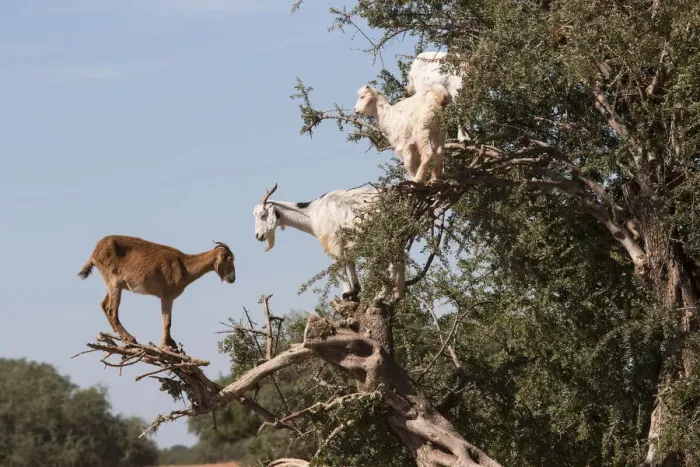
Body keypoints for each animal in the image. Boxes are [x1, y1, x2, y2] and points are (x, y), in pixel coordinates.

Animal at [78, 235, 235, 349]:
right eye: (229, 259)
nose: (232, 278)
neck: (184, 267)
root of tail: (95, 253)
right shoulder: (166, 296)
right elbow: (167, 321)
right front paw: (166, 346)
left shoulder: (167, 298)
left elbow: (168, 320)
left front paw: (172, 343)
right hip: (114, 281)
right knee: (112, 310)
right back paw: (130, 338)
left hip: (113, 284)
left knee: (103, 304)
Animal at [253, 183, 404, 301]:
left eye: (263, 215)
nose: (258, 236)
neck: (311, 212)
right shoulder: (345, 241)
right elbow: (349, 262)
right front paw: (355, 291)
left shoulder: (333, 240)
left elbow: (339, 263)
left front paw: (346, 293)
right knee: (397, 262)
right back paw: (396, 296)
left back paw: (381, 296)